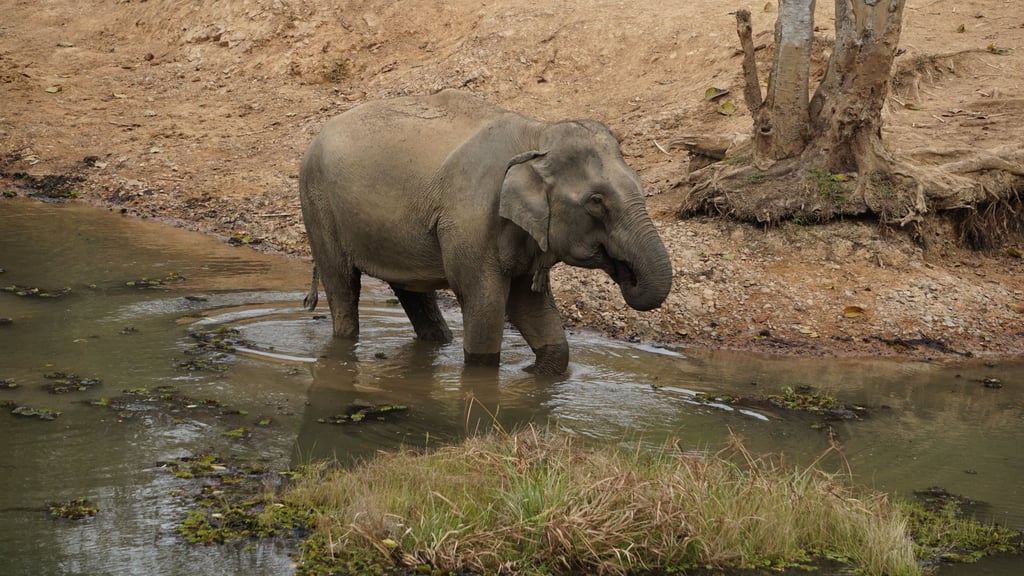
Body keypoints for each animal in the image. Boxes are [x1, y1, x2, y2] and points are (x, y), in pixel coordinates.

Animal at [299, 89, 672, 374]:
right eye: (596, 202)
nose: (625, 271)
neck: (538, 134)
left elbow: (530, 305)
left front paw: (536, 372)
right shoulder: (472, 218)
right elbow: (487, 303)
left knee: (412, 292)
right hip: (318, 205)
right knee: (342, 286)